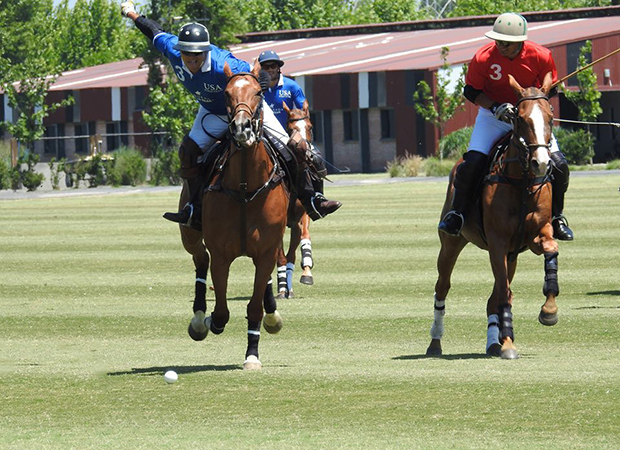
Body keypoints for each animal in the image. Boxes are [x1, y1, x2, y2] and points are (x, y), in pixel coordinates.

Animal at [180, 59, 286, 370]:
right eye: (226, 94)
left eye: (258, 93)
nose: (241, 129)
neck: (244, 187)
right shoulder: (221, 253)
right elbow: (222, 310)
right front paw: (209, 322)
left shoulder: (266, 250)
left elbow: (254, 306)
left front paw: (252, 354)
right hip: (189, 234)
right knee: (200, 259)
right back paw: (199, 318)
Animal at [428, 74, 560, 360]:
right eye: (521, 118)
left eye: (550, 116)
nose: (542, 163)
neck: (522, 181)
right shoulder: (498, 242)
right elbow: (503, 295)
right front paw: (509, 344)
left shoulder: (533, 236)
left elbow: (550, 249)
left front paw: (549, 310)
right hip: (451, 244)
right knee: (443, 287)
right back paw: (435, 342)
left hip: (512, 256)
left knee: (496, 295)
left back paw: (493, 344)